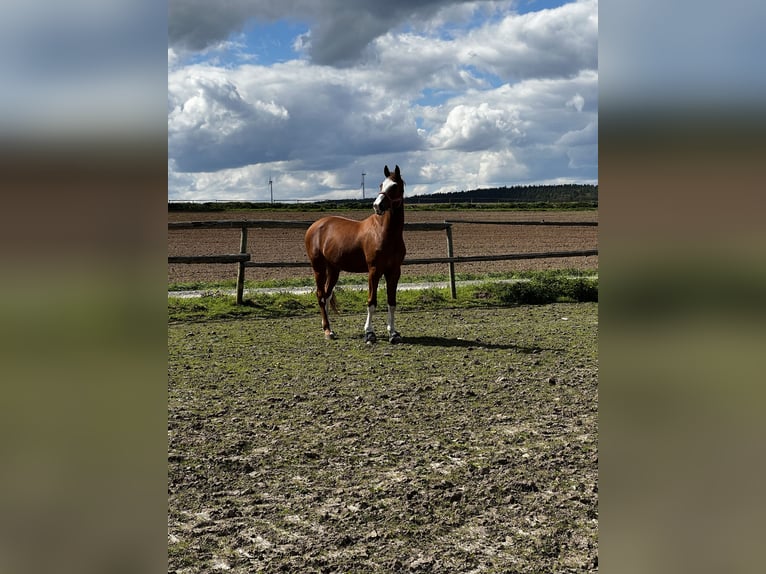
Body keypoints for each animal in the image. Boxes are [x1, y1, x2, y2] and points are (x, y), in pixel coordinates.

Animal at [306, 166, 408, 346]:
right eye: (381, 184)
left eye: (394, 186)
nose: (377, 205)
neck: (384, 233)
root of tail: (314, 226)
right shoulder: (374, 271)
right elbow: (371, 302)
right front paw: (369, 333)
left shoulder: (394, 271)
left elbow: (392, 302)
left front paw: (393, 333)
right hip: (318, 268)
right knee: (320, 296)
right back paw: (328, 331)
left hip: (334, 269)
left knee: (327, 295)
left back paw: (329, 327)